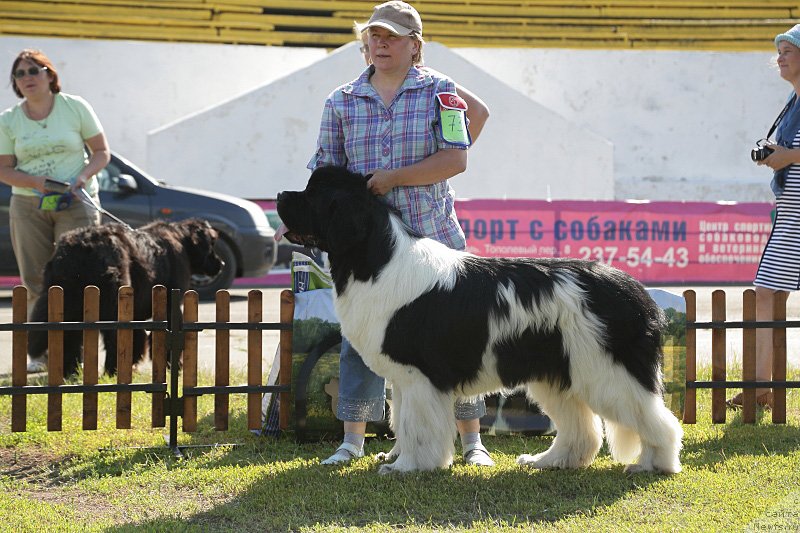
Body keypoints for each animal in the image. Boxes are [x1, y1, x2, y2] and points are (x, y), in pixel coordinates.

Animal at [28, 218, 222, 376]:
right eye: (212, 243)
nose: (222, 263)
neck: (183, 241)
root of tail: (79, 248)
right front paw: (175, 366)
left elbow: (138, 336)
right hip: (111, 299)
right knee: (112, 336)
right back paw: (112, 370)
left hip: (69, 300)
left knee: (70, 336)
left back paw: (71, 372)